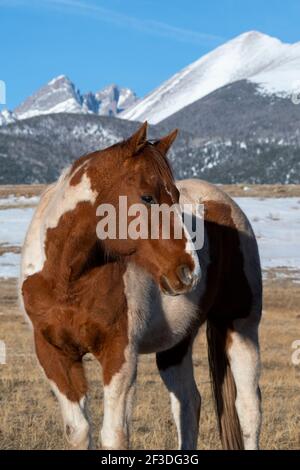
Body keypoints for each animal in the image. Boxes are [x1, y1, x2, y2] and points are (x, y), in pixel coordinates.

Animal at [19, 123, 262, 450]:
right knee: (188, 404)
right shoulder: (54, 354)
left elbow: (113, 435)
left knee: (248, 409)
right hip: (177, 344)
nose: (189, 271)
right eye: (147, 197)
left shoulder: (120, 353)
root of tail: (225, 203)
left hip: (240, 328)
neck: (67, 279)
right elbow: (79, 431)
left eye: (175, 195)